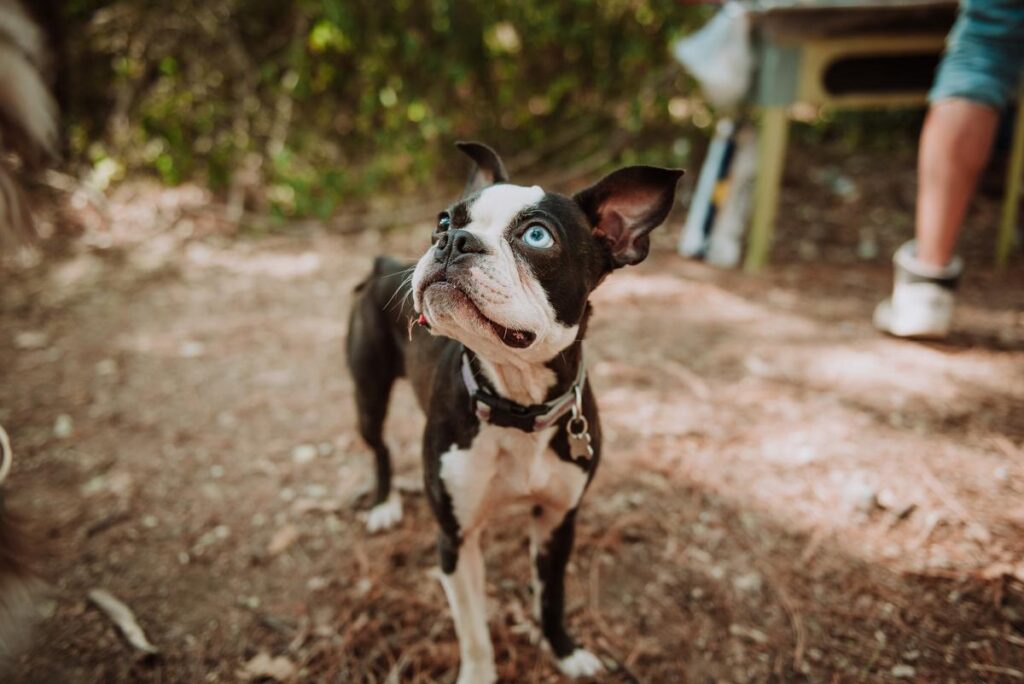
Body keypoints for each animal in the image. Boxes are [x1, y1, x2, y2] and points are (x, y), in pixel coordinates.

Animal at [348, 141, 684, 679]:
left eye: (536, 236)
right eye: (444, 220)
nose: (454, 240)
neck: (517, 402)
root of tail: (383, 261)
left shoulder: (557, 521)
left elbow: (552, 597)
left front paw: (564, 651)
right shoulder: (456, 539)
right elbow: (474, 632)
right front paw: (479, 675)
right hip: (368, 392)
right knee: (378, 446)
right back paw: (384, 504)